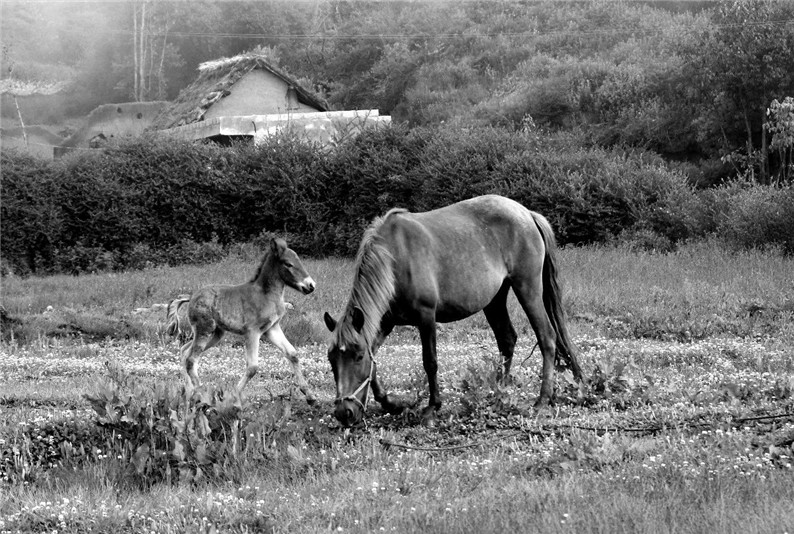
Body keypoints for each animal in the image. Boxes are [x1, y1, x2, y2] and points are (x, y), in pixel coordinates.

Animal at [176, 237, 316, 404]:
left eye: (299, 260)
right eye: (288, 264)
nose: (311, 285)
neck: (266, 295)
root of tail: (191, 297)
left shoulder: (272, 329)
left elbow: (292, 354)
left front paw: (310, 396)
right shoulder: (252, 332)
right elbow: (252, 367)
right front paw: (234, 396)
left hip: (215, 334)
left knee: (185, 352)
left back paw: (190, 393)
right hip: (204, 330)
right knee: (191, 359)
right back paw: (202, 395)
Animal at [322, 195, 580, 430]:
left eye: (357, 357)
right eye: (332, 361)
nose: (344, 412)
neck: (395, 258)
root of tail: (527, 214)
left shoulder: (426, 317)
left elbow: (430, 362)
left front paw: (432, 408)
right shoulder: (386, 322)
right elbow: (375, 362)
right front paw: (391, 404)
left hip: (527, 288)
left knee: (547, 337)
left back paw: (542, 400)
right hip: (495, 300)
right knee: (507, 340)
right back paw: (498, 393)